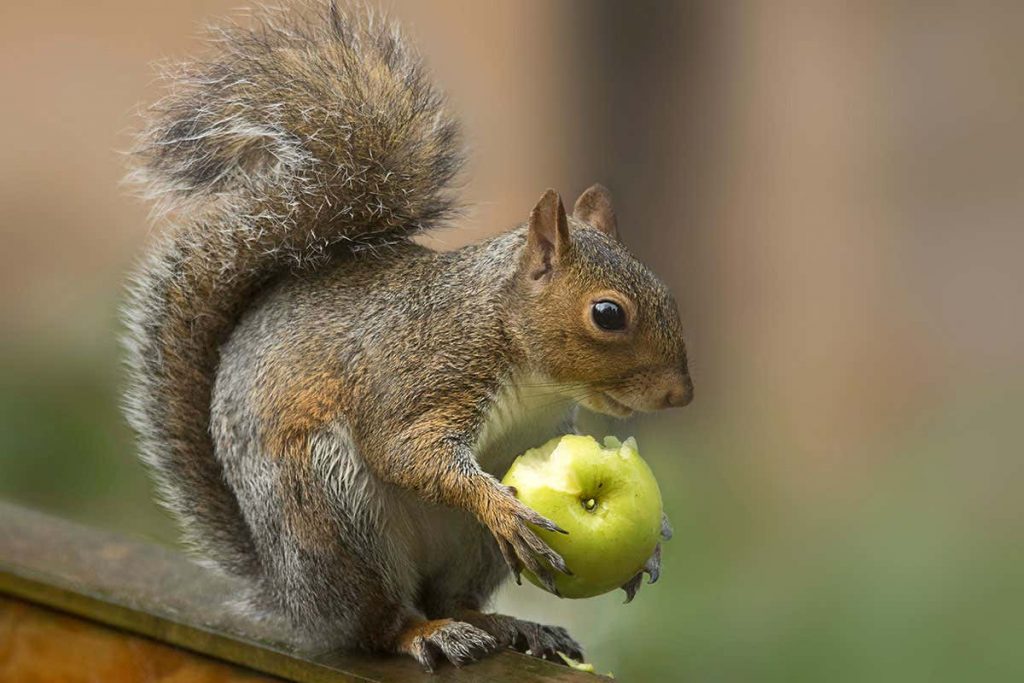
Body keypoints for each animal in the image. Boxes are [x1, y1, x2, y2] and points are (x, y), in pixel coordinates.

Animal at [121, 0, 696, 671]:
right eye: (608, 314)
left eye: (667, 292)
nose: (680, 395)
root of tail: (293, 600)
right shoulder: (424, 373)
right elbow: (405, 451)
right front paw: (500, 506)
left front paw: (655, 542)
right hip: (331, 514)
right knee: (381, 622)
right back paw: (427, 633)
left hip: (467, 550)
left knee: (452, 597)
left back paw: (511, 626)